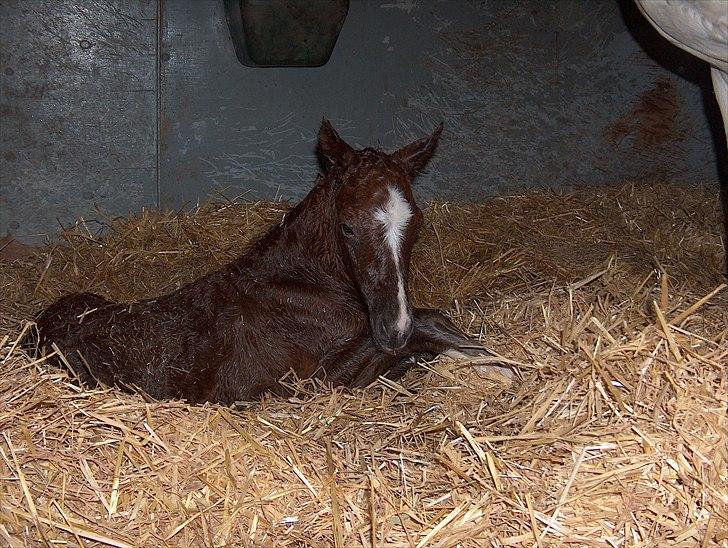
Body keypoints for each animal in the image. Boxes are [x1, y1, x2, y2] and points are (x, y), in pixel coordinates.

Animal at [35, 121, 512, 402]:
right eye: (347, 227)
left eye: (416, 223)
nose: (393, 329)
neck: (302, 283)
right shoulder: (319, 382)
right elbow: (427, 326)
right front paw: (495, 365)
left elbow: (430, 324)